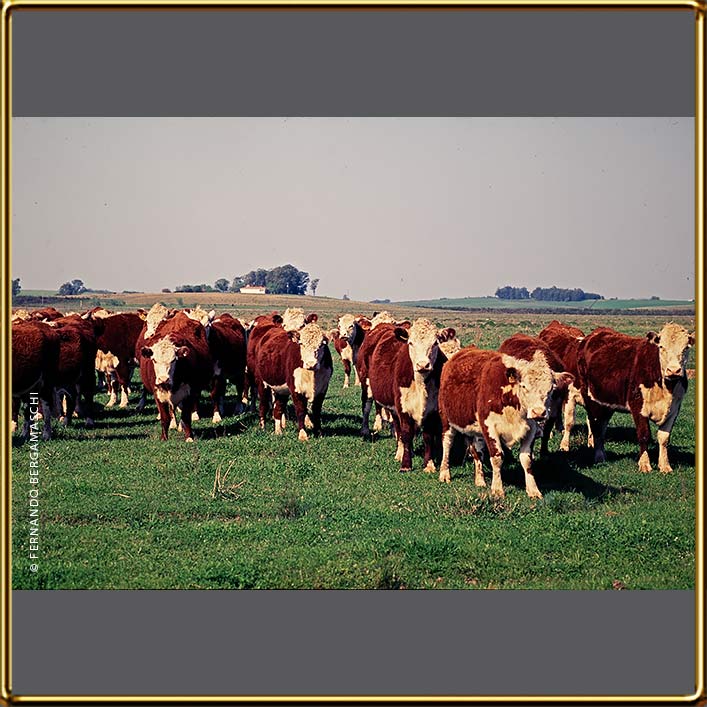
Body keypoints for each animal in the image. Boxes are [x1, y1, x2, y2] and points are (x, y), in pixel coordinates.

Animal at [139, 312, 212, 442]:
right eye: (154, 360)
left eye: (173, 360)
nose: (163, 379)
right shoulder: (158, 394)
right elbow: (165, 417)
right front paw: (164, 437)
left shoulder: (189, 393)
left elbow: (186, 417)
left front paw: (189, 437)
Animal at [366, 318, 456, 472]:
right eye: (411, 343)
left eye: (435, 343)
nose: (423, 365)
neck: (421, 385)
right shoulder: (403, 408)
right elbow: (406, 434)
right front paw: (406, 465)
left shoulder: (432, 410)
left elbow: (428, 437)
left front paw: (429, 465)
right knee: (398, 430)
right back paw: (400, 453)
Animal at [438, 348, 573, 498]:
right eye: (524, 386)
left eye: (551, 389)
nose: (538, 412)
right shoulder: (489, 427)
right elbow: (497, 457)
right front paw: (497, 489)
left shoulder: (531, 429)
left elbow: (526, 460)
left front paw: (533, 490)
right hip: (446, 420)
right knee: (447, 444)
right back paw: (444, 473)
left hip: (475, 430)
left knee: (477, 451)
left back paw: (480, 479)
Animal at [576, 322, 694, 473]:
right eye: (661, 347)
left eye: (686, 348)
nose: (673, 370)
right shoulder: (638, 406)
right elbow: (644, 435)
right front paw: (644, 464)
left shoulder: (674, 408)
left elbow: (664, 438)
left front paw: (665, 466)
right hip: (591, 399)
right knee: (595, 426)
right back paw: (598, 457)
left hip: (607, 403)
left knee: (602, 428)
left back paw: (602, 454)